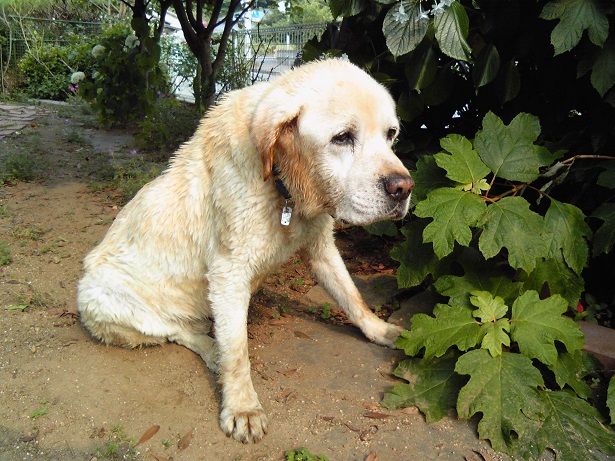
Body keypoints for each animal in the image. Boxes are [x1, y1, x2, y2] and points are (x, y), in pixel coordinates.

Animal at [77, 57, 414, 442]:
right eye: (343, 137)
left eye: (391, 134)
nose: (404, 188)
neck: (283, 186)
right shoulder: (228, 273)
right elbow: (238, 352)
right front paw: (242, 407)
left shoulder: (321, 248)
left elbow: (352, 297)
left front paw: (380, 330)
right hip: (97, 297)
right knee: (173, 330)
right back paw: (212, 351)